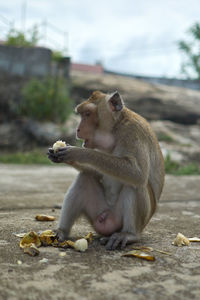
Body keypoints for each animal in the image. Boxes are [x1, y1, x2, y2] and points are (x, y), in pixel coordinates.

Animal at [47, 90, 165, 250]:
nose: (77, 129)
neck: (116, 130)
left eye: (87, 114)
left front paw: (78, 153)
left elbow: (137, 173)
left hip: (121, 220)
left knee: (135, 185)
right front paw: (62, 156)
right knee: (85, 177)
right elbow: (96, 172)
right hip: (99, 212)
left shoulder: (134, 132)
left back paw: (129, 234)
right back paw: (61, 232)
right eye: (81, 114)